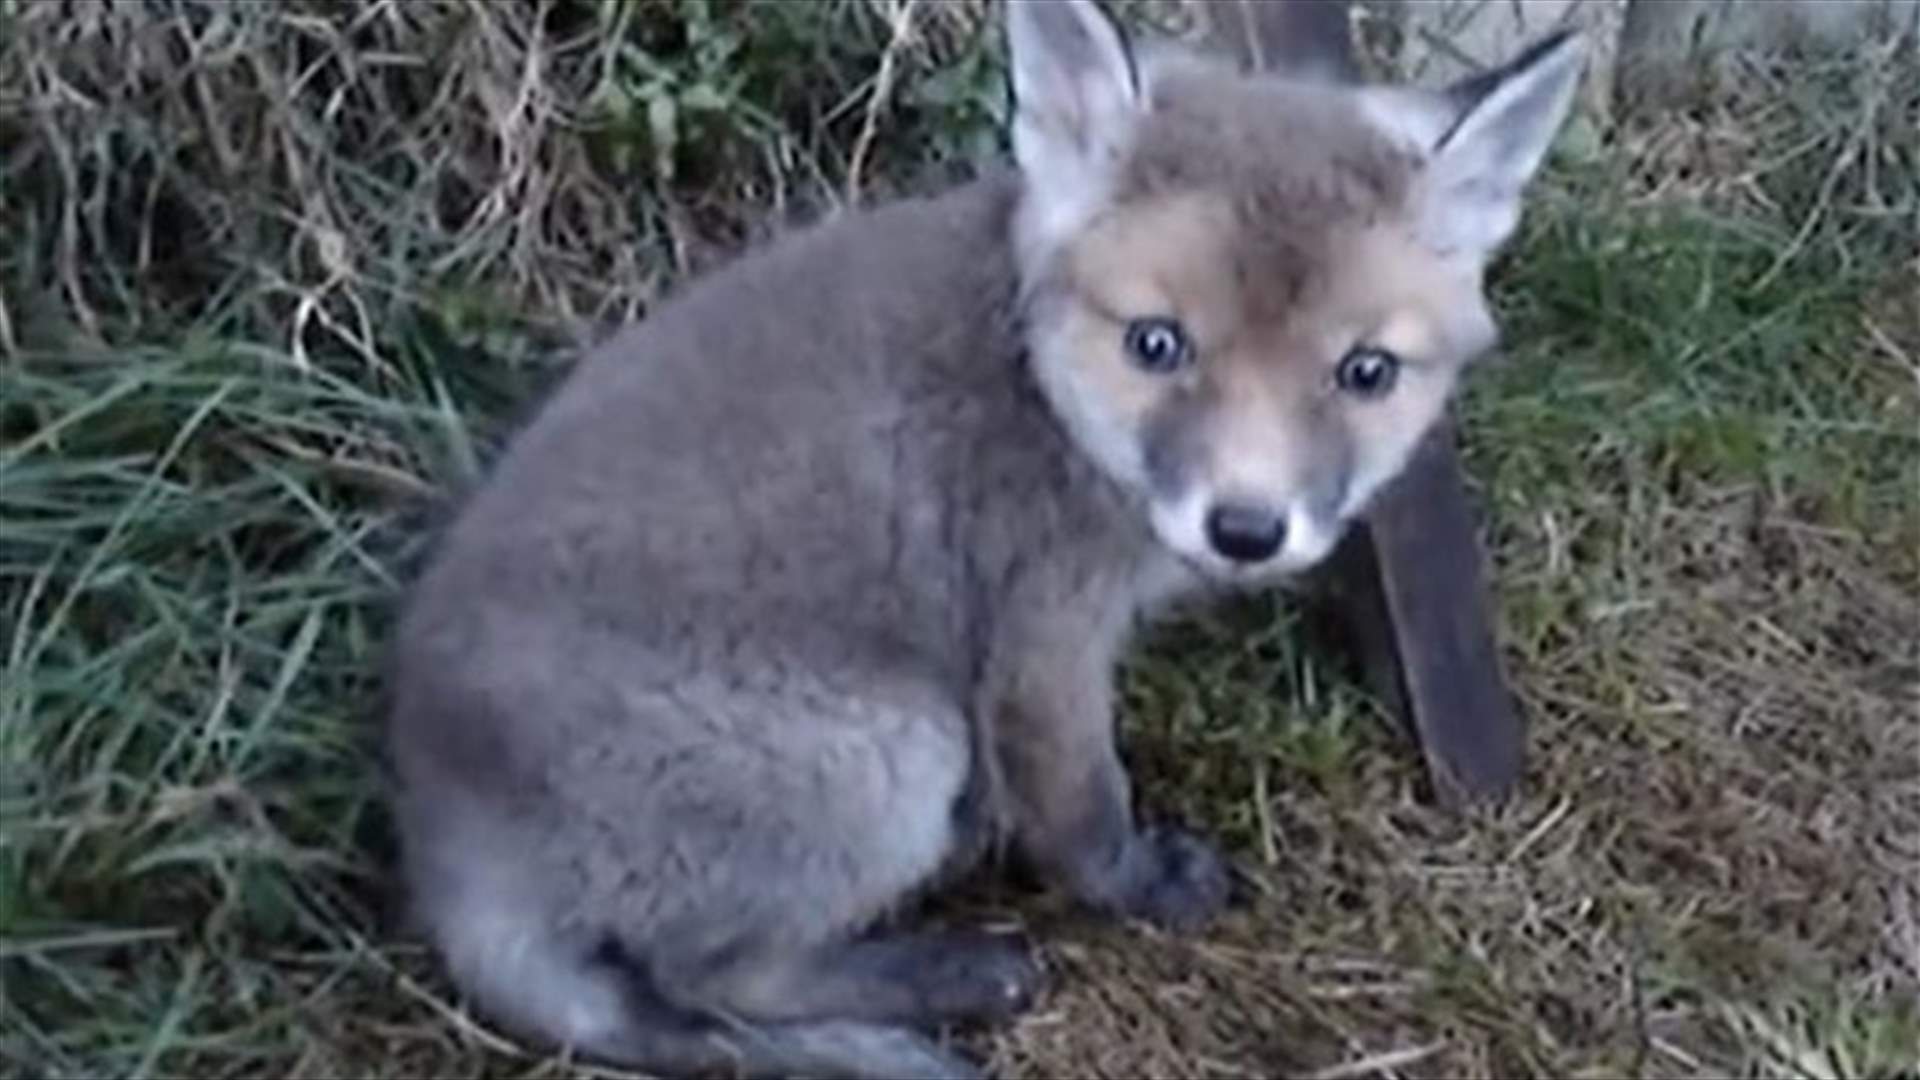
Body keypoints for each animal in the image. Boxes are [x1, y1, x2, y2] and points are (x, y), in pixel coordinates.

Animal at [382, 2, 1586, 1077]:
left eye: (1366, 372)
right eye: (1157, 344)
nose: (1246, 529)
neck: (1038, 376)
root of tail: (441, 834)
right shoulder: (1042, 636)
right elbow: (1083, 811)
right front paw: (1142, 889)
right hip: (893, 750)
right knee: (712, 979)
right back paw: (956, 974)